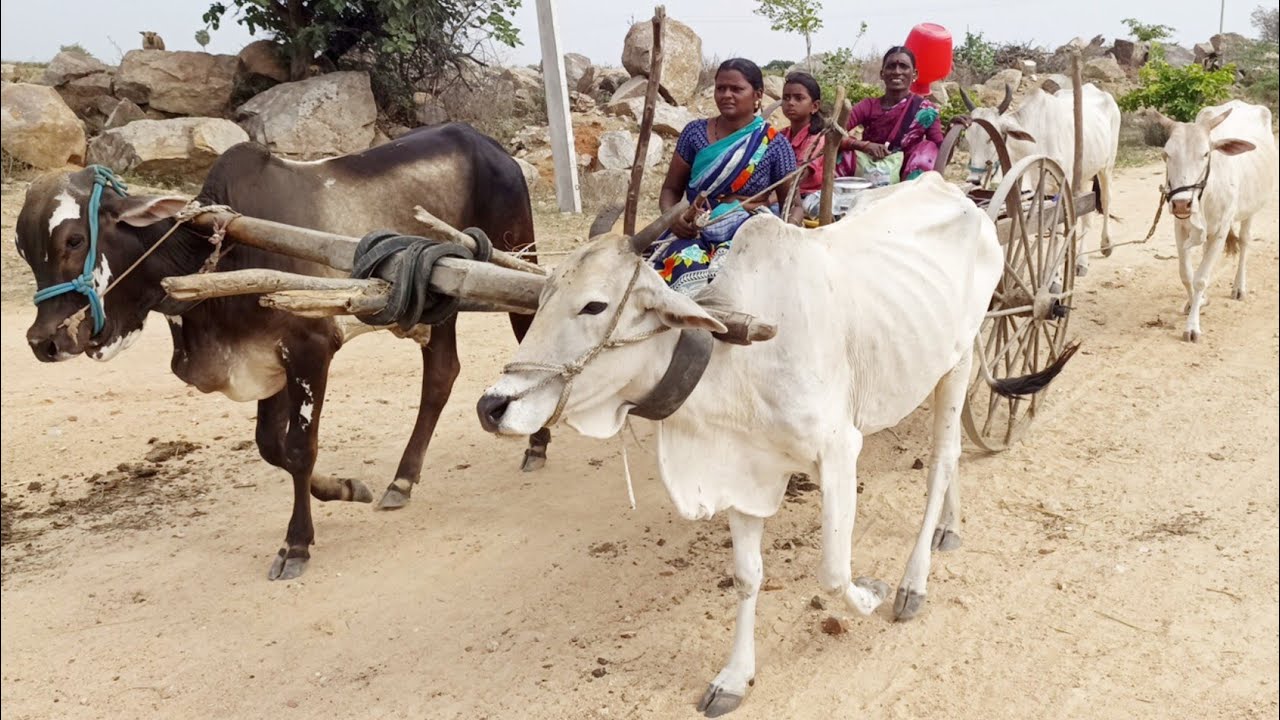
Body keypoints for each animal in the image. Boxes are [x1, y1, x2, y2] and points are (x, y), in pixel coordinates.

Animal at [15, 123, 551, 580]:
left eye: (74, 239)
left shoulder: (310, 351)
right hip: (438, 301)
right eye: (23, 249)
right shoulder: (268, 361)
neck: (218, 254)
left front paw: (297, 544)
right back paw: (402, 480)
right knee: (441, 374)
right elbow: (272, 448)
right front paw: (345, 488)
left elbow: (299, 448)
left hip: (521, 255)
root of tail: (488, 144)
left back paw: (537, 444)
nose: (43, 341)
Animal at [476, 173, 1077, 717]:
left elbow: (833, 572)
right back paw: (949, 530)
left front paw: (873, 593)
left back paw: (914, 580)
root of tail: (958, 194)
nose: (492, 406)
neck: (737, 361)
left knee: (942, 461)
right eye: (540, 296)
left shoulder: (839, 452)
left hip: (960, 358)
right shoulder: (744, 475)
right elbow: (748, 577)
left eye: (595, 306)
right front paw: (734, 677)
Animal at [960, 83, 1121, 277]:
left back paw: (1106, 245)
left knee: (1105, 200)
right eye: (967, 138)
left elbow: (1056, 231)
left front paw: (1055, 275)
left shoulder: (1060, 188)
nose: (974, 180)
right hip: (1084, 174)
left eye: (991, 138)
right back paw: (1081, 261)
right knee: (1086, 215)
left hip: (1107, 166)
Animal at [1152, 100, 1278, 342]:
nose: (1181, 204)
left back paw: (1239, 287)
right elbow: (1186, 274)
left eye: (1205, 154)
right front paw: (1196, 301)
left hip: (1250, 210)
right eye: (1166, 154)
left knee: (1245, 242)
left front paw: (1192, 327)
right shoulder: (1180, 227)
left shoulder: (1221, 230)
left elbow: (1201, 278)